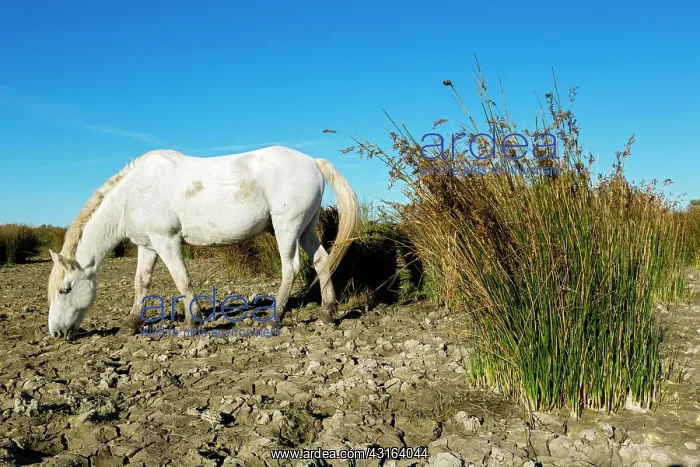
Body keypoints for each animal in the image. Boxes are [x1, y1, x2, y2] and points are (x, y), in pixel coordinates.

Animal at [46, 146, 359, 339]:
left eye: (64, 289)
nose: (56, 332)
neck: (133, 194)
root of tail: (313, 162)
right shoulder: (147, 246)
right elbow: (141, 283)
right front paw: (131, 324)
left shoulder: (167, 241)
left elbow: (181, 280)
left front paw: (191, 323)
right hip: (306, 229)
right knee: (321, 261)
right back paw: (327, 313)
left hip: (287, 228)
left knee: (290, 268)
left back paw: (274, 319)